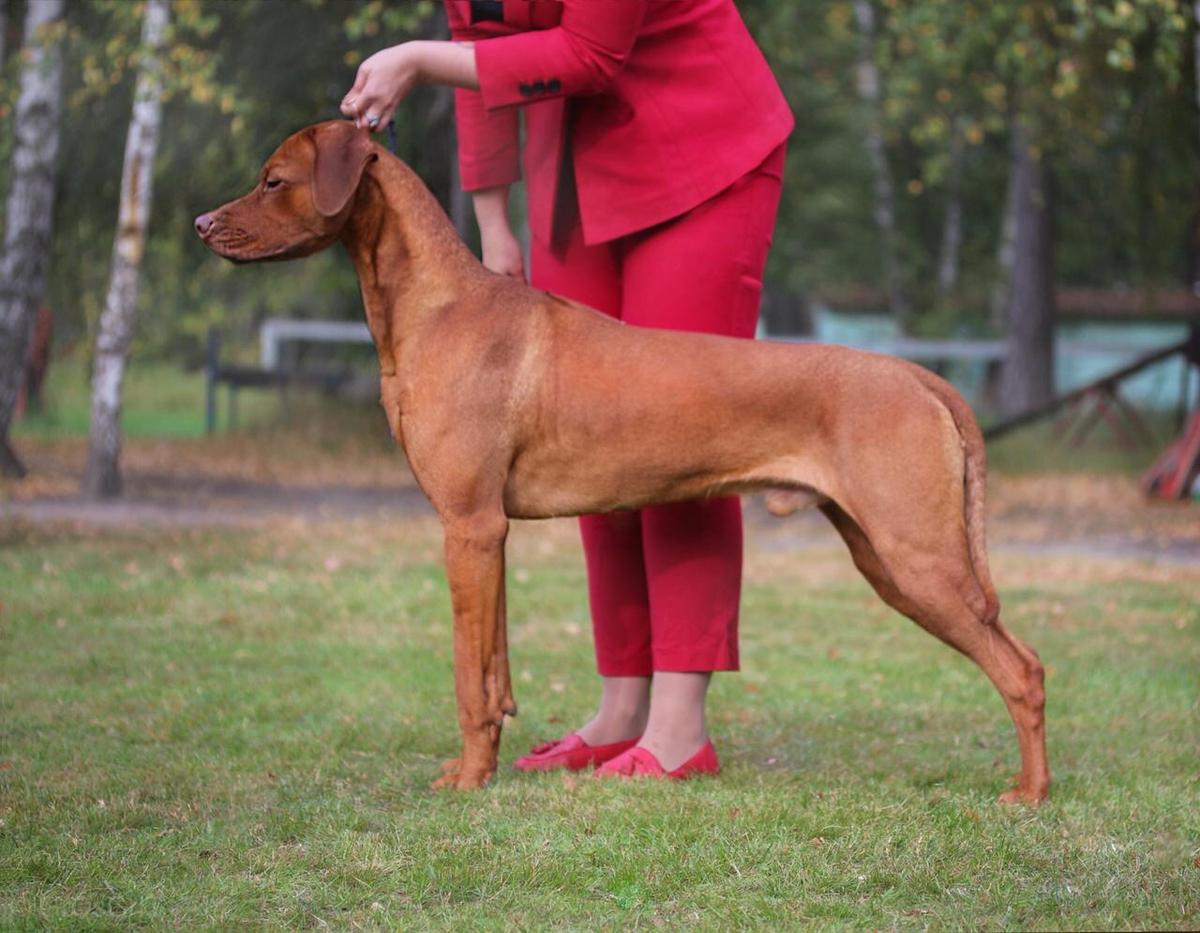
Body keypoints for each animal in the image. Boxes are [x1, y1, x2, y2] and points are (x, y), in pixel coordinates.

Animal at [196, 121, 1051, 801]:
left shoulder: (467, 524)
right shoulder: (489, 534)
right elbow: (496, 667)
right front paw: (490, 757)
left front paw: (468, 778)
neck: (438, 306)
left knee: (1023, 669)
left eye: (273, 179)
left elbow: (468, 676)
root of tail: (917, 374)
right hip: (885, 558)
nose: (202, 222)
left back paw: (1030, 792)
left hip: (920, 556)